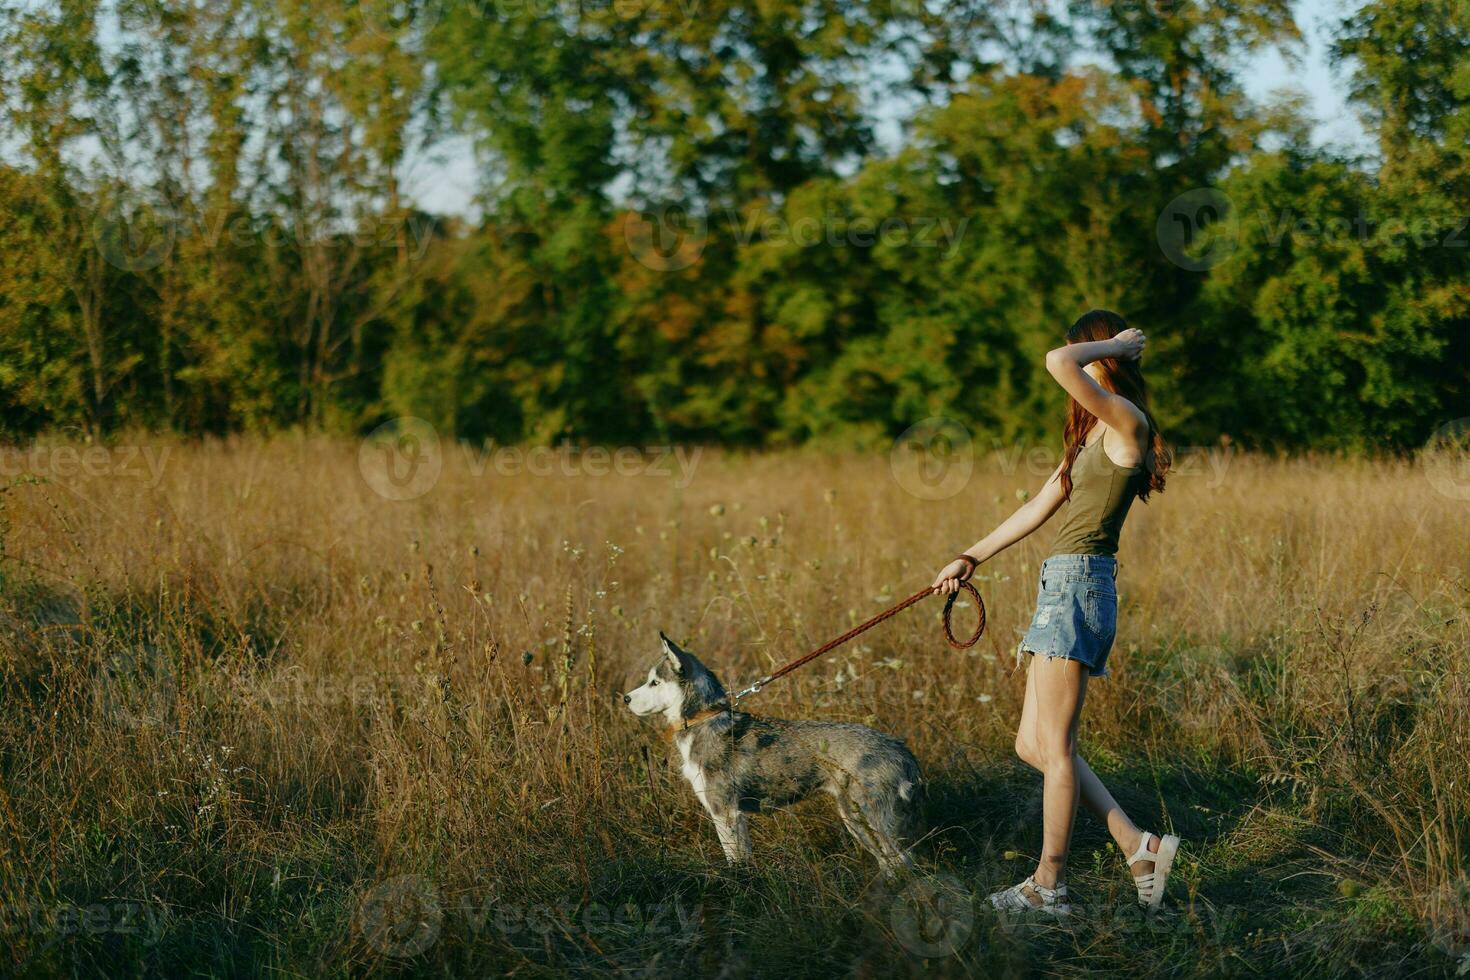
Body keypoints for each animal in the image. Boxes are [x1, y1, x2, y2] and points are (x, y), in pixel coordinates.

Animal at [626, 631, 923, 875]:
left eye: (654, 682)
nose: (625, 698)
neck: (705, 719)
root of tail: (901, 748)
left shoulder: (725, 812)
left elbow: (735, 861)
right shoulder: (731, 815)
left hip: (871, 818)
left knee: (905, 864)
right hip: (855, 819)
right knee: (890, 864)